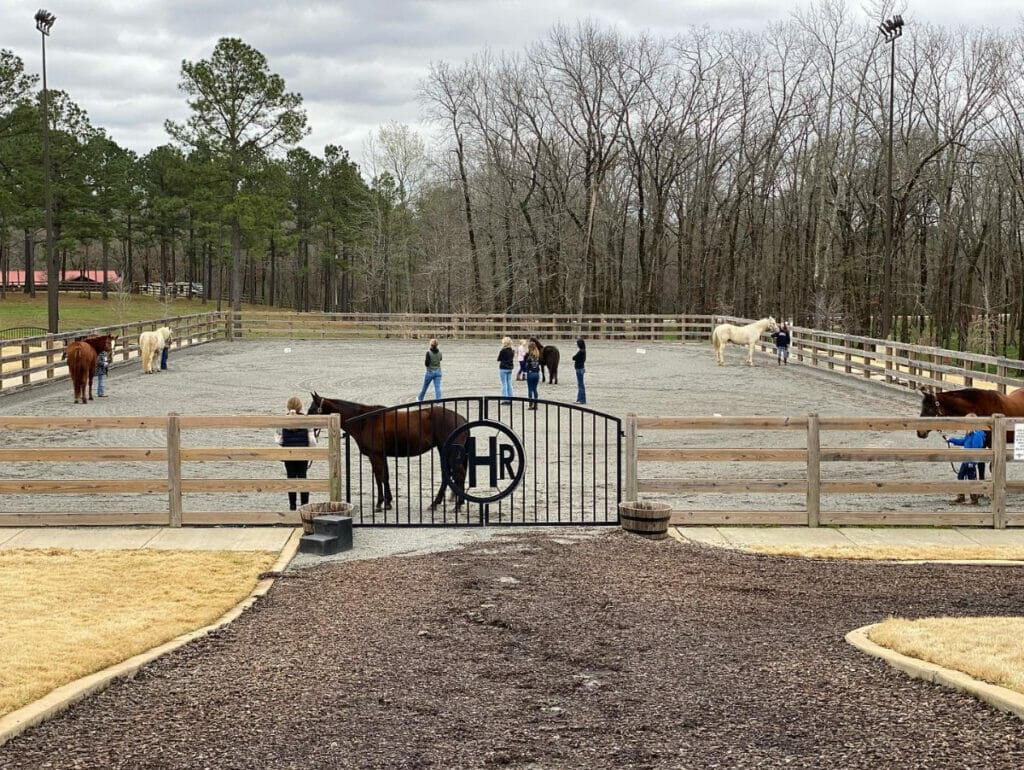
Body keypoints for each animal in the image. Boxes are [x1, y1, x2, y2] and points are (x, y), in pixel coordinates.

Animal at [307, 391, 468, 511]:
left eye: (313, 409)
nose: (308, 428)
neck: (364, 421)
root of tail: (461, 419)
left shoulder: (375, 455)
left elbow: (379, 477)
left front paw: (379, 504)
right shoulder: (381, 455)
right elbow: (386, 476)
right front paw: (389, 501)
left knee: (459, 474)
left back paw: (457, 505)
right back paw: (437, 503)